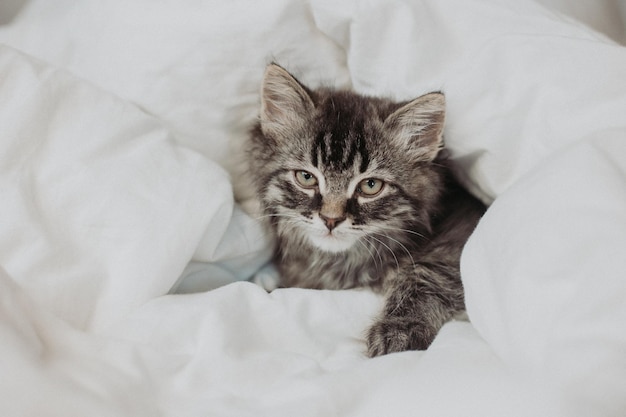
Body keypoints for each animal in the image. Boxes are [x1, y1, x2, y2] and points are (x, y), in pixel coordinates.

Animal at [246, 63, 486, 356]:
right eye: (306, 177)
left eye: (371, 185)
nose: (331, 219)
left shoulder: (460, 236)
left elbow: (428, 273)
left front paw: (400, 328)